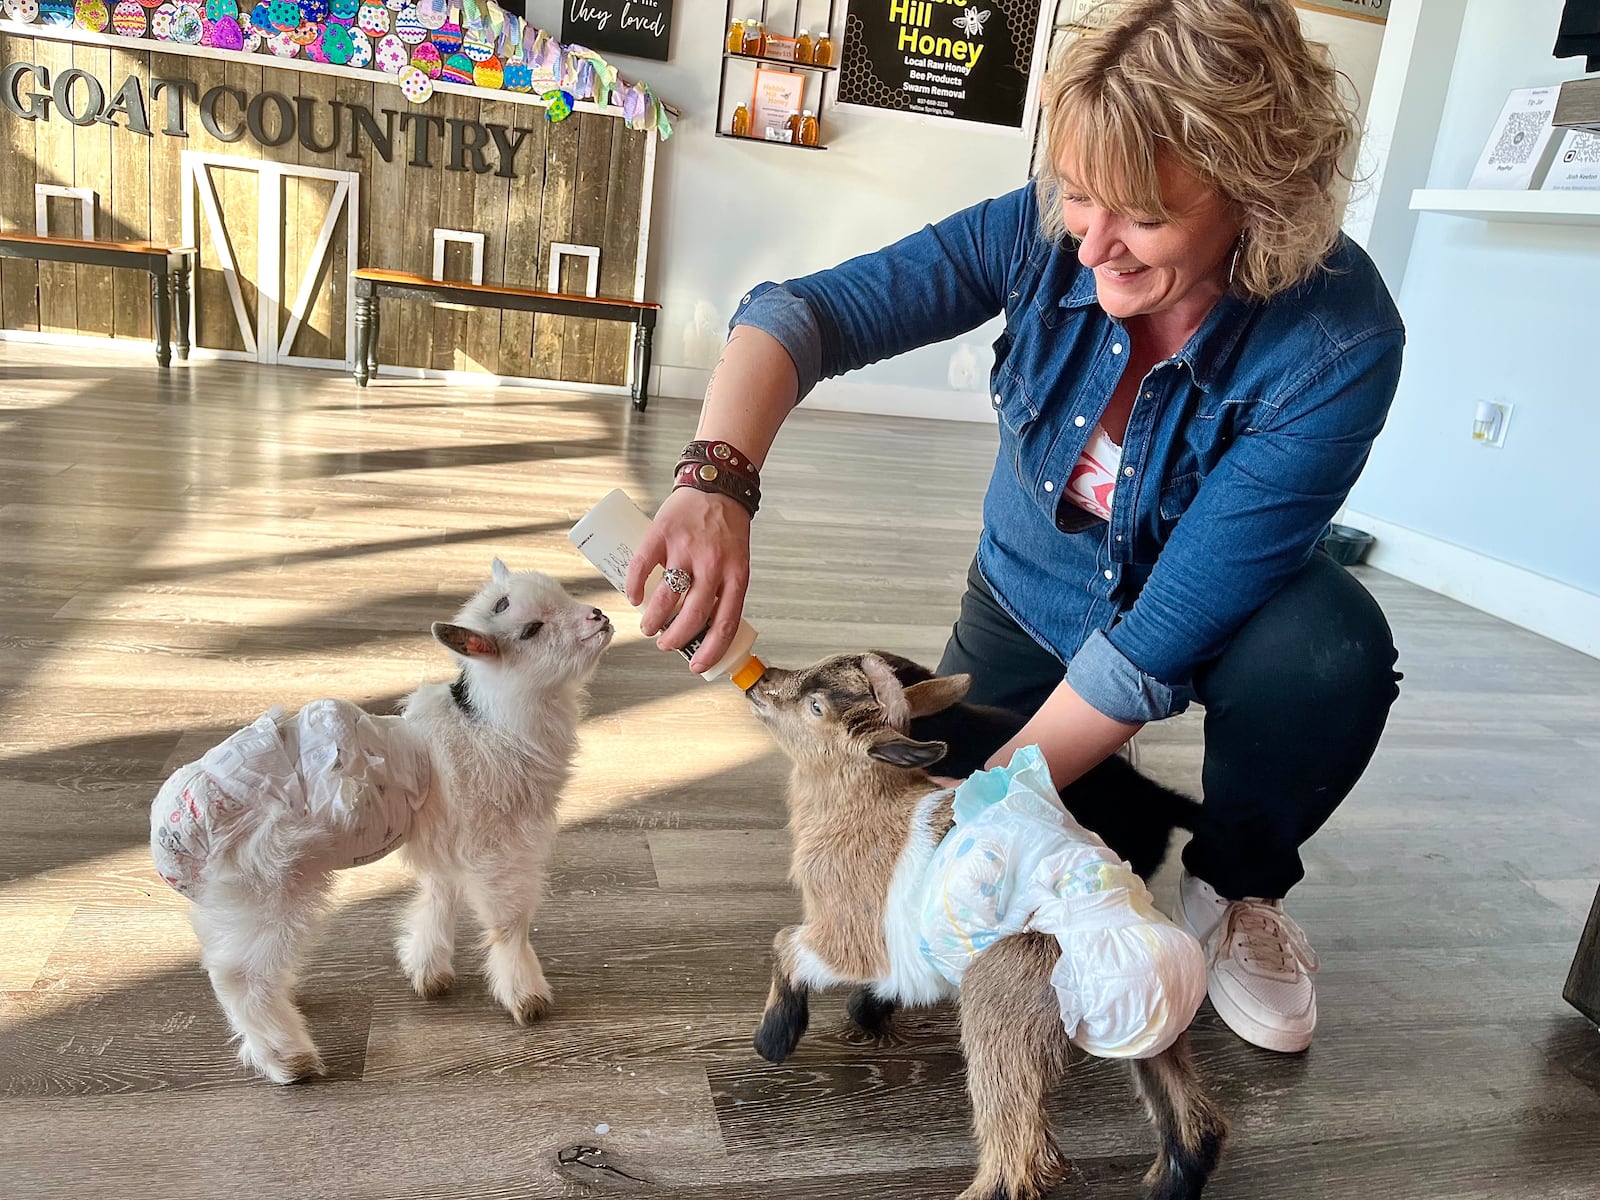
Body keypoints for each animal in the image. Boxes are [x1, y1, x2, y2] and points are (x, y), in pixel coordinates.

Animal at [745, 659, 1222, 1200]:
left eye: (816, 706)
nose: (760, 684)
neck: (861, 808)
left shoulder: (849, 937)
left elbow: (786, 944)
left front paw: (773, 1040)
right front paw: (866, 1012)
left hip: (1000, 1010)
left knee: (1022, 1158)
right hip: (1150, 1037)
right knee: (1194, 1121)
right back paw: (1168, 1187)